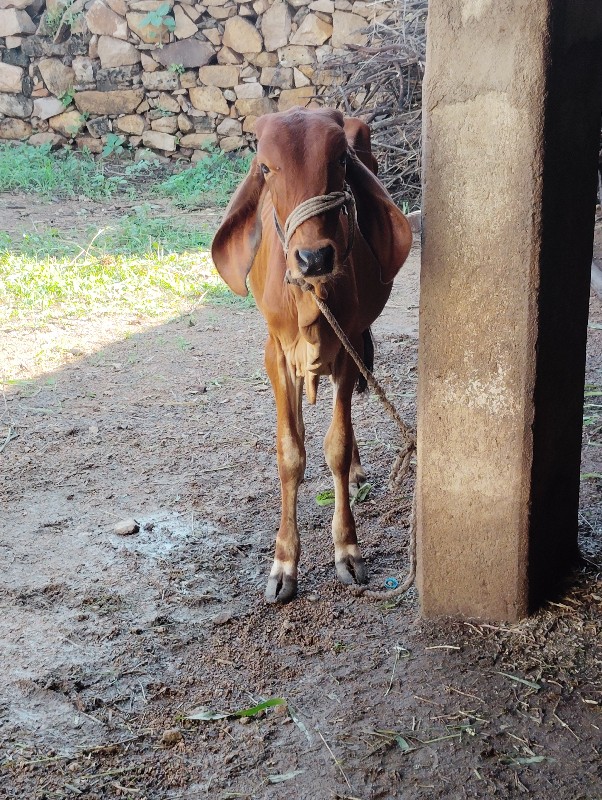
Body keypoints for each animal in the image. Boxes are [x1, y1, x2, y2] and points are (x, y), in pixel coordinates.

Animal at [211, 109, 412, 604]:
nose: (314, 258)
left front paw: (347, 549)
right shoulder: (277, 355)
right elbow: (290, 453)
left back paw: (357, 471)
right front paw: (284, 563)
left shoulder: (348, 346)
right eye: (265, 168)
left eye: (340, 160)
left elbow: (335, 446)